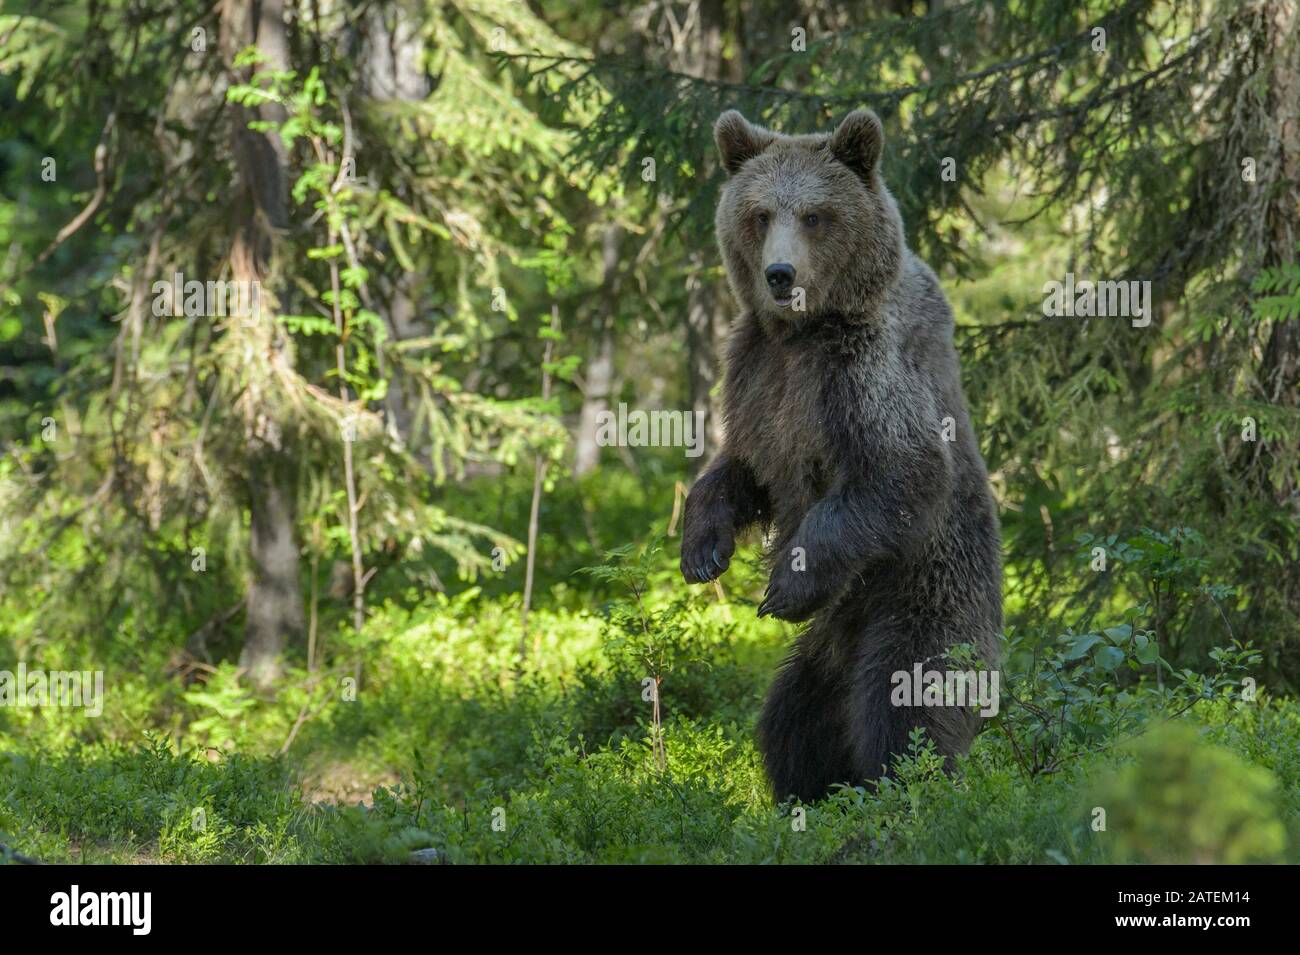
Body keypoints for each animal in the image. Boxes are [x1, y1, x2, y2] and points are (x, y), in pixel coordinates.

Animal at [681, 108, 1003, 805]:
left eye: (814, 215)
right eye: (760, 213)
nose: (779, 274)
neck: (803, 331)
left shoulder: (863, 370)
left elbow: (902, 471)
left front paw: (783, 585)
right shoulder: (756, 374)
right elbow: (742, 468)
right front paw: (702, 550)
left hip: (922, 599)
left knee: (906, 706)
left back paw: (903, 789)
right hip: (823, 658)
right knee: (792, 719)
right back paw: (810, 791)